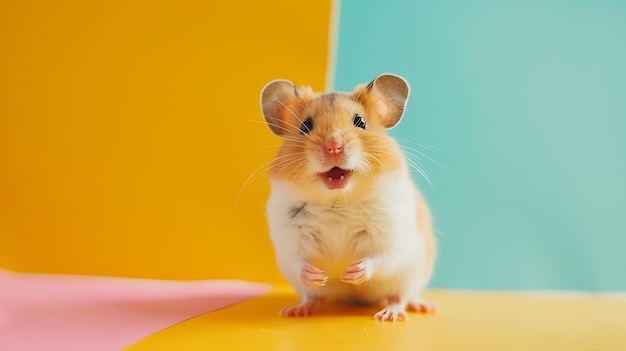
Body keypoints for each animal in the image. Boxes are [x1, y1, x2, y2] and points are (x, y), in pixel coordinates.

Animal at [258, 73, 434, 322]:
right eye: (305, 126)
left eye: (360, 122)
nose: (334, 146)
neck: (337, 200)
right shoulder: (289, 238)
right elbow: (298, 261)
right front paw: (319, 276)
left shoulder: (392, 235)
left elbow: (381, 257)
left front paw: (351, 273)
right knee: (312, 297)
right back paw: (297, 310)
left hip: (411, 274)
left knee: (400, 297)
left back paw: (401, 312)